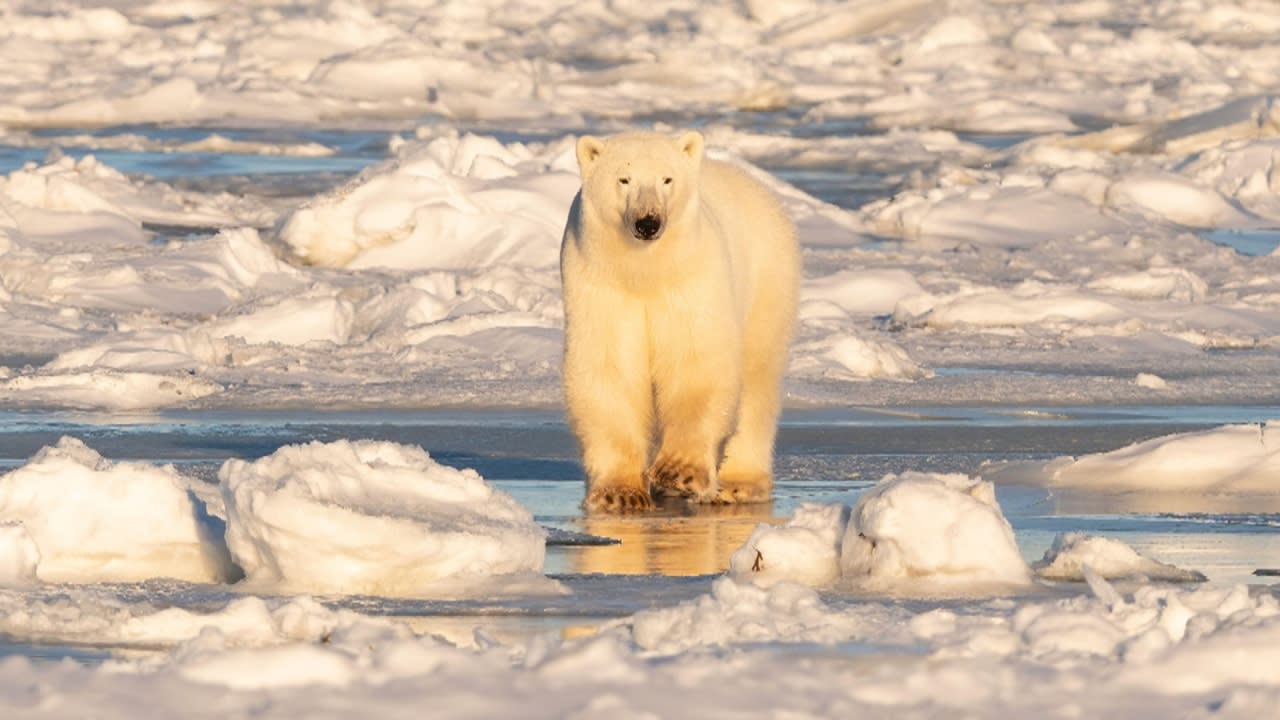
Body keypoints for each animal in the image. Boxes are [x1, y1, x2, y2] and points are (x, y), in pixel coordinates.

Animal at [563, 128, 798, 509]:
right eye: (623, 179)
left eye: (667, 179)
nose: (648, 222)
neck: (645, 271)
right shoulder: (598, 282)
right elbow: (609, 369)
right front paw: (620, 493)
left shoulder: (692, 278)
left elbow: (695, 363)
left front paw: (679, 473)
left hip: (768, 280)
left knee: (758, 376)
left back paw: (739, 483)